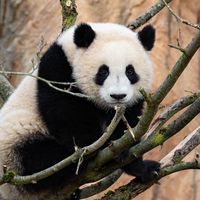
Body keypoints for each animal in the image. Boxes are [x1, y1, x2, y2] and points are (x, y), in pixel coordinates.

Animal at [0, 22, 159, 199]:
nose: (118, 96)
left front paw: (141, 166)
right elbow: (65, 114)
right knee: (42, 159)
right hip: (15, 150)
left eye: (130, 71)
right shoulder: (57, 70)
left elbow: (129, 126)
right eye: (103, 71)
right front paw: (99, 147)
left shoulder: (132, 103)